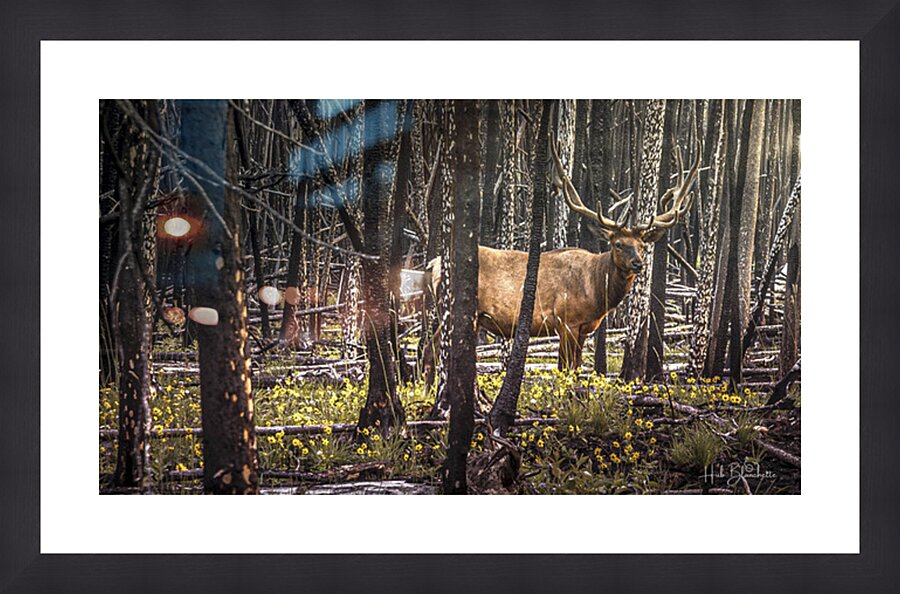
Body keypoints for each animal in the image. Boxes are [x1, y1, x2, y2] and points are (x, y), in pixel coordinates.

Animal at [425, 139, 701, 372]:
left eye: (642, 245)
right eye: (618, 244)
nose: (638, 263)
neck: (595, 293)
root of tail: (434, 264)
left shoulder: (584, 328)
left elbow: (576, 369)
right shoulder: (566, 321)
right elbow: (565, 370)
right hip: (456, 310)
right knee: (430, 350)